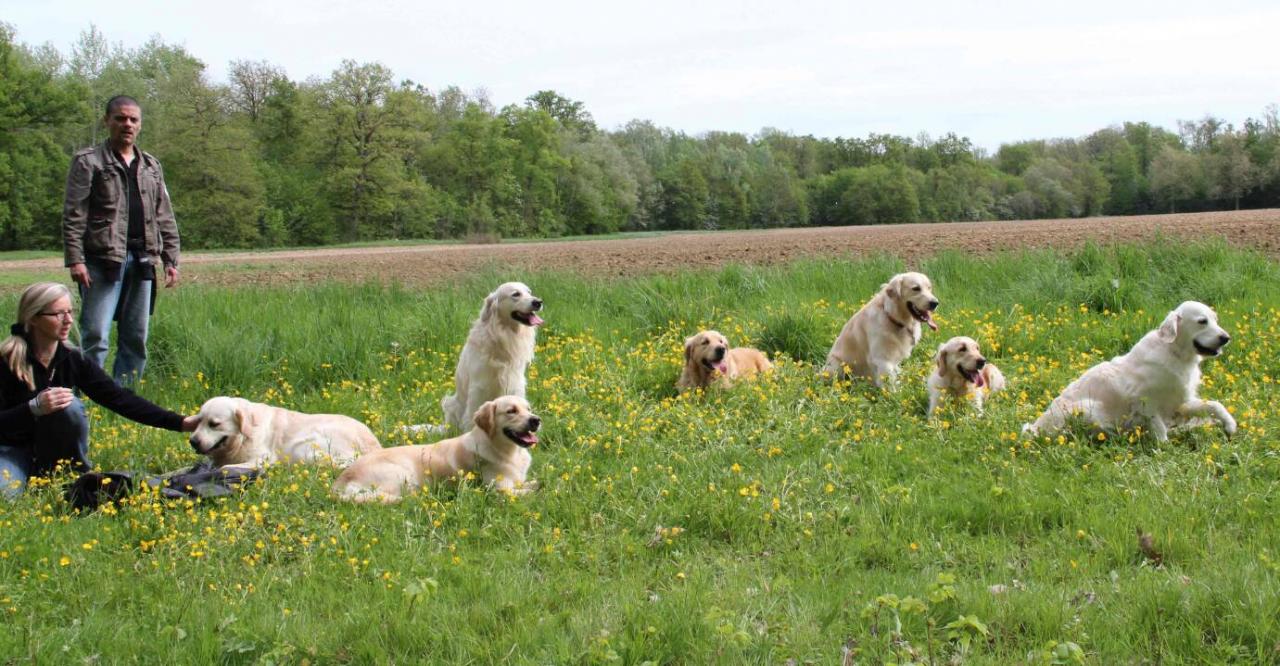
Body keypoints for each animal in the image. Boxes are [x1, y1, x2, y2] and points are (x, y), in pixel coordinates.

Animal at [186, 397, 381, 471]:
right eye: (199, 421)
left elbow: (226, 468)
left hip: (305, 448)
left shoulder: (262, 458)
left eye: (214, 424)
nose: (193, 441)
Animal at [440, 280, 545, 432]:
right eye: (516, 294)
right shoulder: (479, 387)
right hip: (452, 404)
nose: (538, 302)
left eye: (529, 292)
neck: (504, 335)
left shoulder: (516, 383)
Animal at [1024, 302, 1233, 443]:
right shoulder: (1142, 400)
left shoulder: (1181, 402)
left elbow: (1215, 405)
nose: (1226, 338)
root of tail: (1035, 428)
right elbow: (1159, 429)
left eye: (1215, 320)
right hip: (1089, 408)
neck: (1175, 353)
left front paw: (1230, 425)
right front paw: (1164, 447)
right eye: (1202, 321)